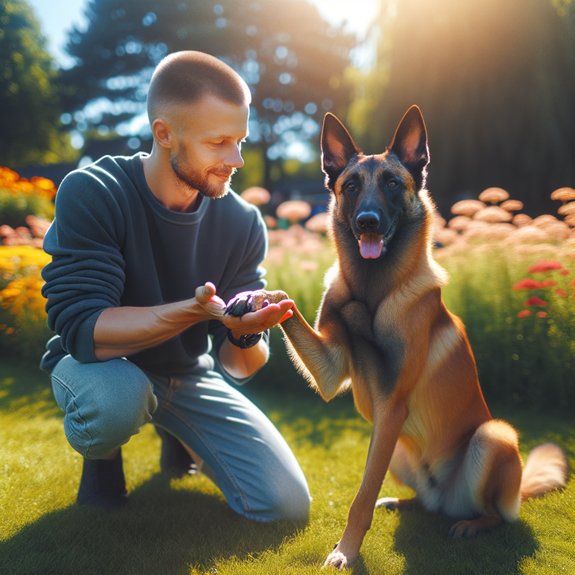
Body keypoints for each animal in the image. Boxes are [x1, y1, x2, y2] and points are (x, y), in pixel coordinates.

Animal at [225, 106, 568, 568]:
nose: (367, 222)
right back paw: (404, 503)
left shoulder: (390, 409)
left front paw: (345, 551)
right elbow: (285, 301)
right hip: (402, 453)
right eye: (351, 186)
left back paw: (472, 524)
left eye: (391, 183)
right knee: (426, 503)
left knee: (496, 513)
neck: (373, 290)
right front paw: (256, 297)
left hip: (493, 435)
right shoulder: (333, 373)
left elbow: (361, 495)